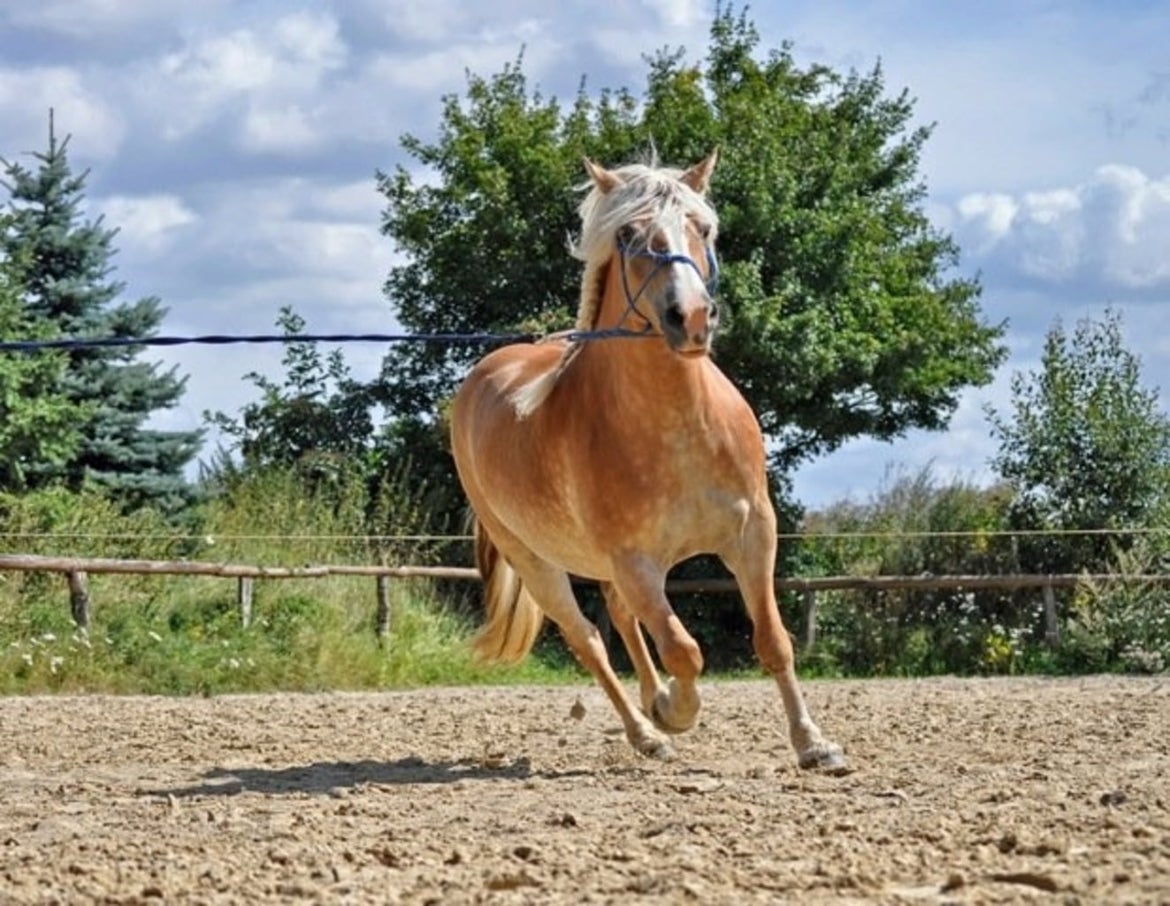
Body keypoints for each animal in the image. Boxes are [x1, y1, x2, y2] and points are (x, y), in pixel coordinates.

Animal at [444, 152, 842, 767]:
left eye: (703, 228)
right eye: (630, 235)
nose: (692, 317)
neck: (678, 431)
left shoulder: (754, 534)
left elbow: (773, 641)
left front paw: (813, 743)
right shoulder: (637, 563)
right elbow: (684, 650)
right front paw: (676, 711)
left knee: (620, 617)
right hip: (536, 563)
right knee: (588, 639)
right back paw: (647, 731)